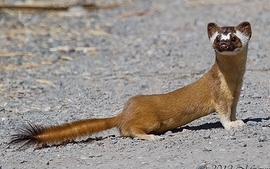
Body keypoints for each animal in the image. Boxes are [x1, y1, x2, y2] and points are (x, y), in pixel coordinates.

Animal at [10, 21, 251, 148]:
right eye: (217, 38)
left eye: (234, 38)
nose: (223, 45)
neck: (234, 81)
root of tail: (124, 111)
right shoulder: (218, 94)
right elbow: (222, 115)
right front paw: (232, 126)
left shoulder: (236, 95)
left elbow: (233, 111)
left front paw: (238, 120)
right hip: (151, 120)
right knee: (128, 129)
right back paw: (150, 136)